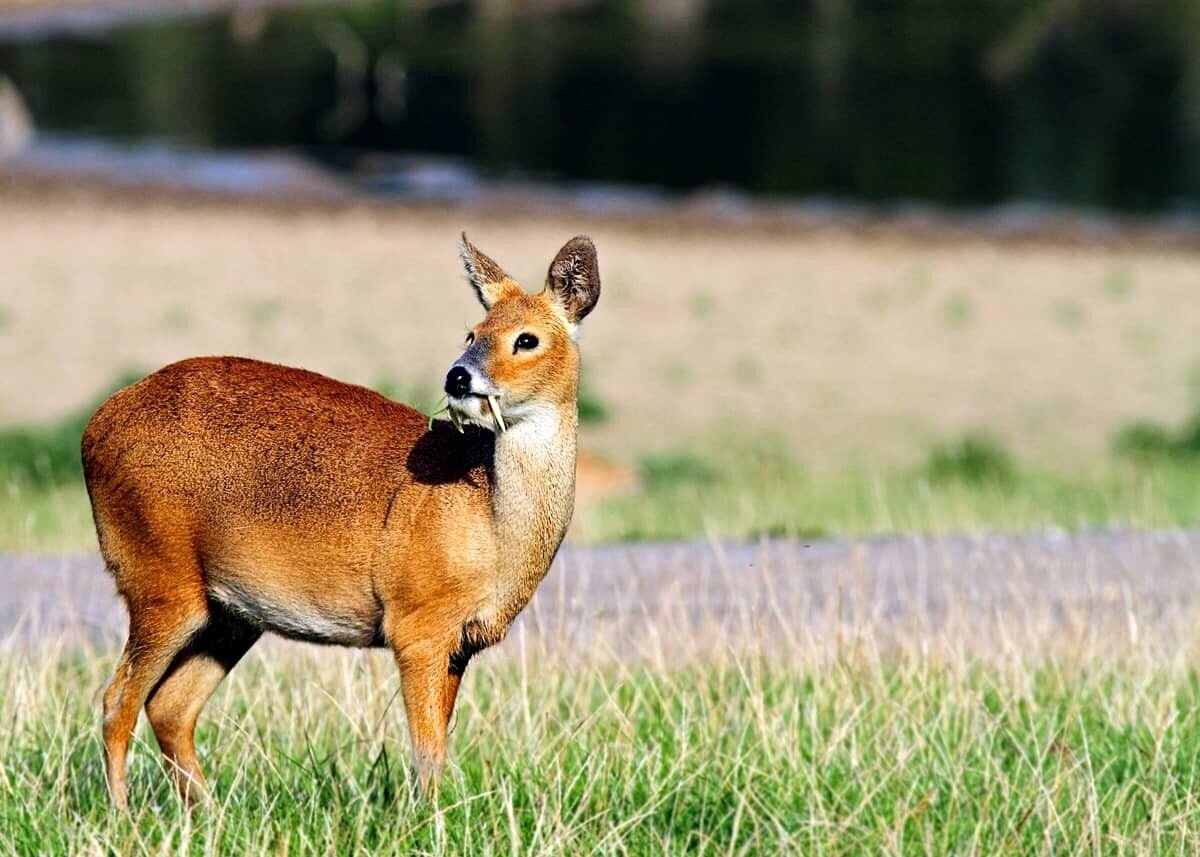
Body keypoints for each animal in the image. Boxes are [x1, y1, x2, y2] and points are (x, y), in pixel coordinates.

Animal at [81, 234, 600, 809]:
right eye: (473, 331)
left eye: (527, 339)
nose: (458, 376)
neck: (489, 520)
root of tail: (94, 429)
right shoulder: (416, 623)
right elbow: (427, 751)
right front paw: (428, 819)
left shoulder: (460, 643)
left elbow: (438, 744)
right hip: (158, 578)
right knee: (116, 702)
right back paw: (124, 815)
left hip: (228, 614)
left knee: (169, 707)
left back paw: (208, 814)